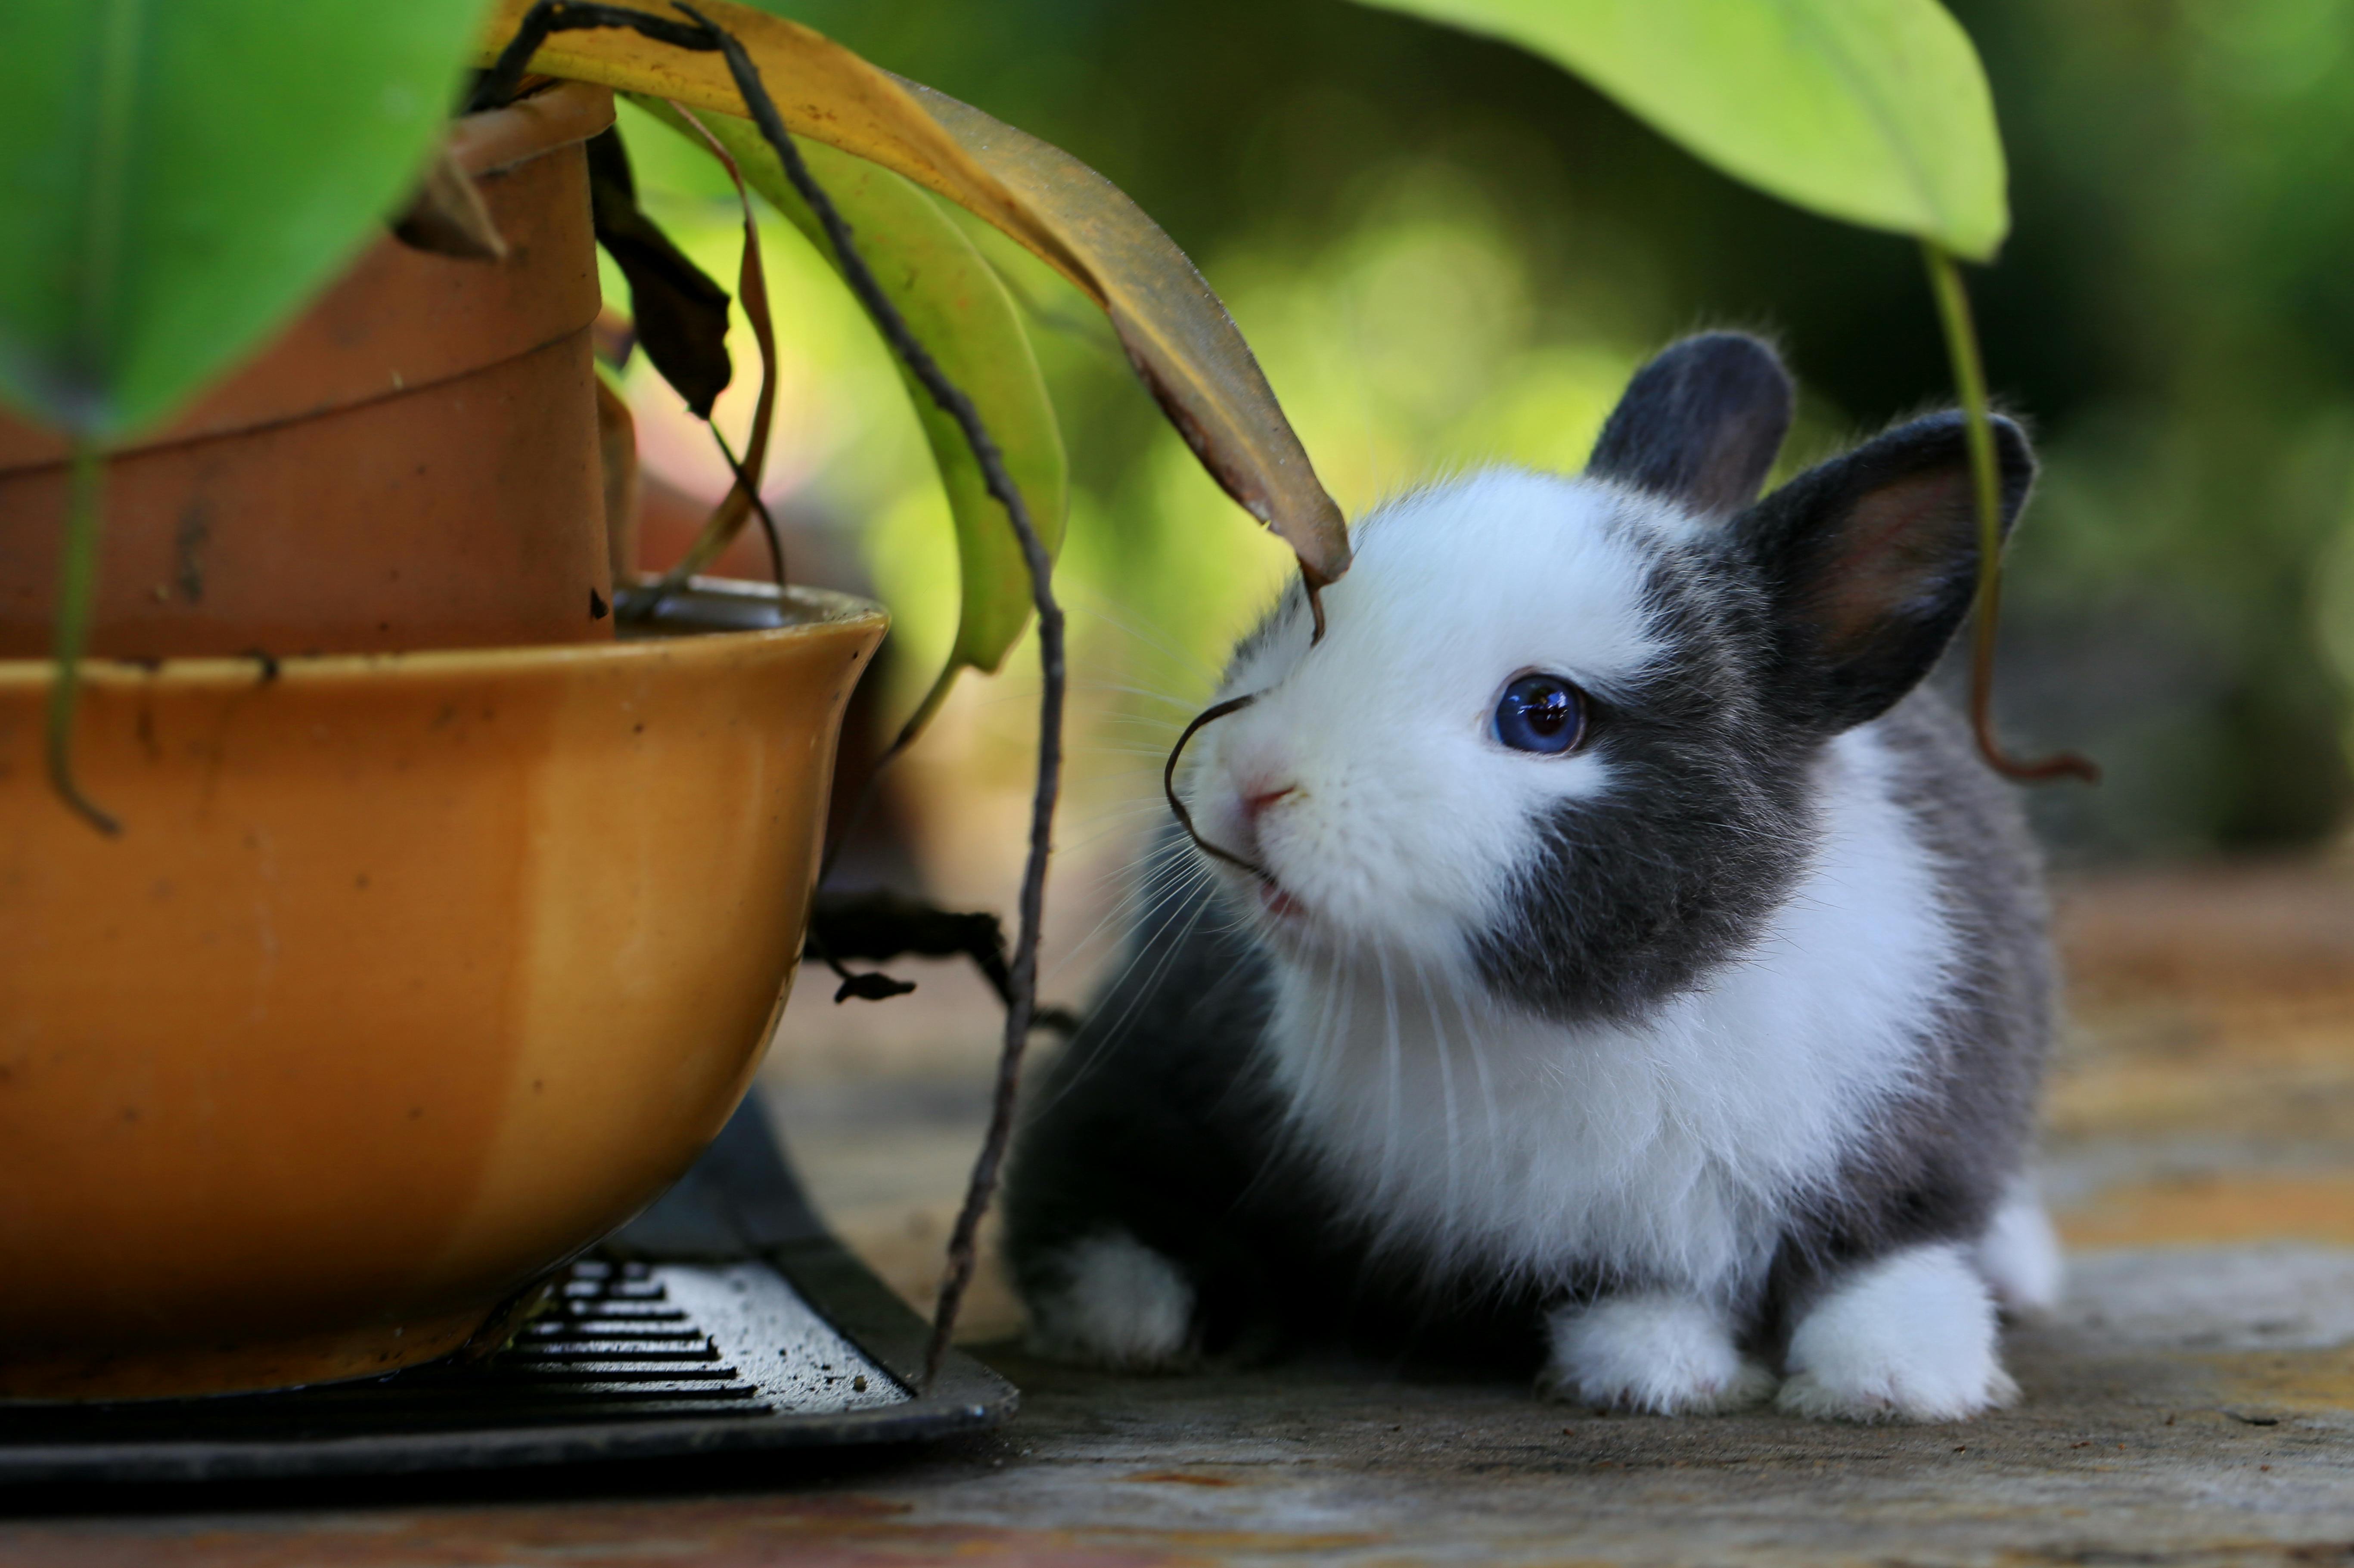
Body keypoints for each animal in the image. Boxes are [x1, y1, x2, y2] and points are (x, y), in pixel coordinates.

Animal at [1012, 329, 2062, 1413]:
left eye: (1544, 716)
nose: (1254, 779)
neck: (1613, 1018)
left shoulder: (1926, 1139)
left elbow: (1890, 1262)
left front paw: (1895, 1380)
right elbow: (1618, 1294)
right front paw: (1665, 1374)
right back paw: (1137, 1316)